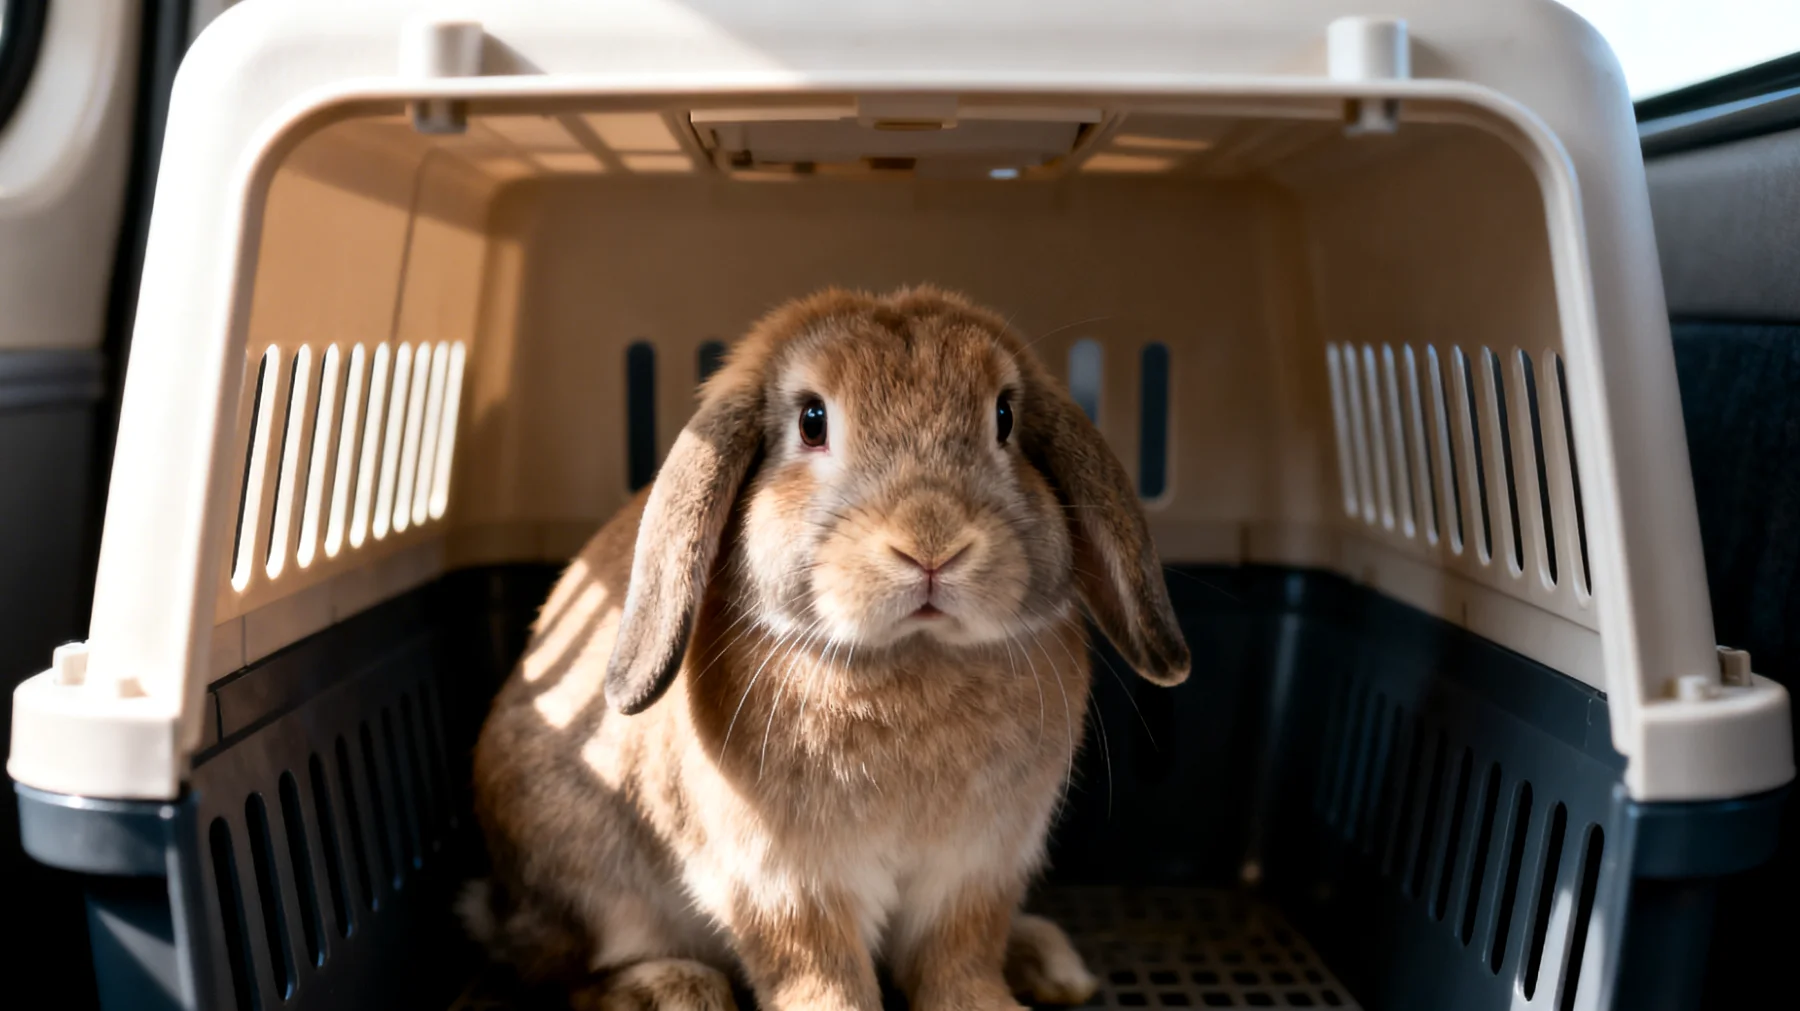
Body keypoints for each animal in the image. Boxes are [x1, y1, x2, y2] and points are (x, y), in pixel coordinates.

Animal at [464, 286, 1191, 1011]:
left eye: (1005, 417)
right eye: (812, 421)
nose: (931, 542)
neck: (912, 656)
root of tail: (496, 905)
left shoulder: (978, 871)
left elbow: (958, 960)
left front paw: (989, 1006)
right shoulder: (783, 883)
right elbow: (820, 969)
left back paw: (1052, 963)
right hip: (588, 881)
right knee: (569, 973)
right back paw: (677, 987)